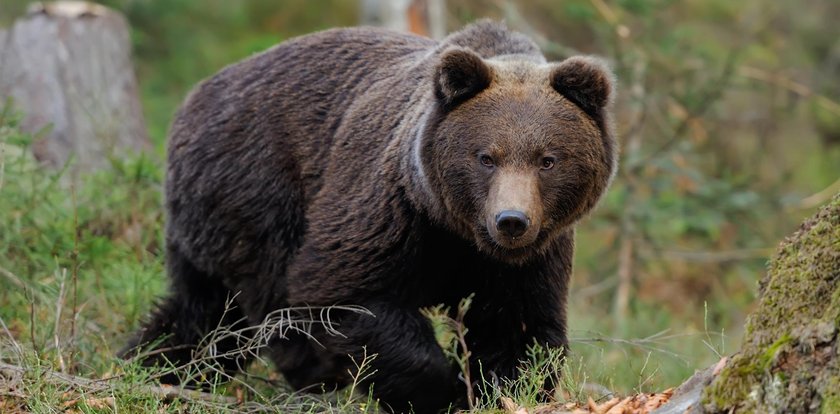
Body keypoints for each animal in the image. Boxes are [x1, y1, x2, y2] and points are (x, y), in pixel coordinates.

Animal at [124, 18, 620, 414]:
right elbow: (344, 293)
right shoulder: (388, 209)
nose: (511, 220)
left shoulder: (528, 256)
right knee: (263, 300)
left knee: (204, 315)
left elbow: (516, 329)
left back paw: (152, 368)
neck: (453, 227)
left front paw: (499, 391)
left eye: (548, 159)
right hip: (256, 189)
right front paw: (442, 390)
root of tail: (194, 98)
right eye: (486, 157)